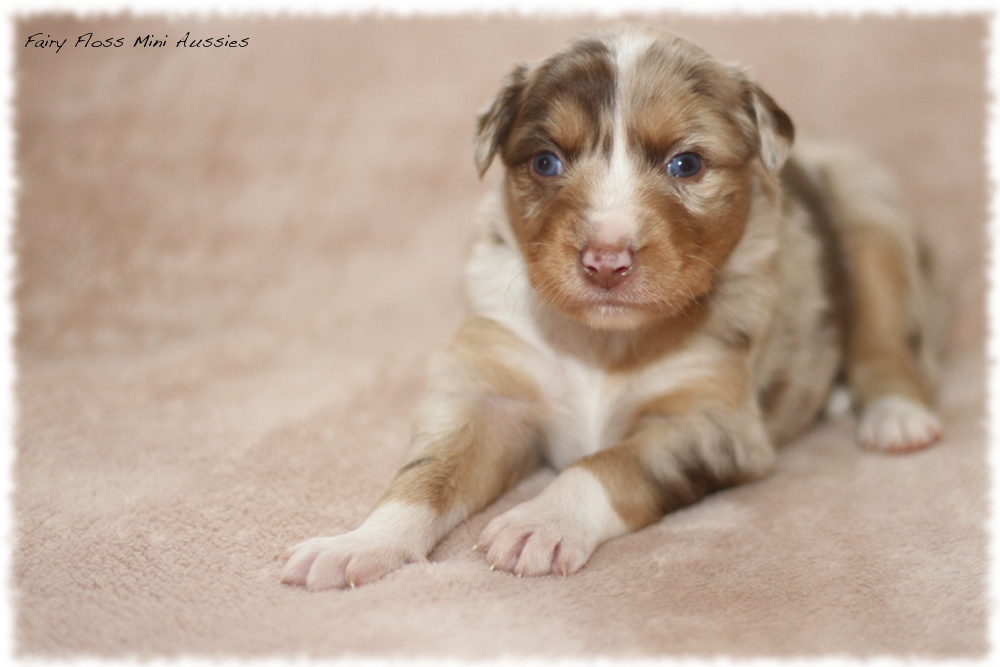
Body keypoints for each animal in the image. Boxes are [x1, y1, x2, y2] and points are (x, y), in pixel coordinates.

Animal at [284, 24, 944, 588]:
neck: (601, 342)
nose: (605, 260)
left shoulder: (710, 420)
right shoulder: (491, 391)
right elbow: (425, 475)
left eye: (686, 163)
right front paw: (358, 544)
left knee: (887, 339)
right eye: (546, 161)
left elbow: (608, 464)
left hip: (872, 216)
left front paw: (539, 523)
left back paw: (896, 417)